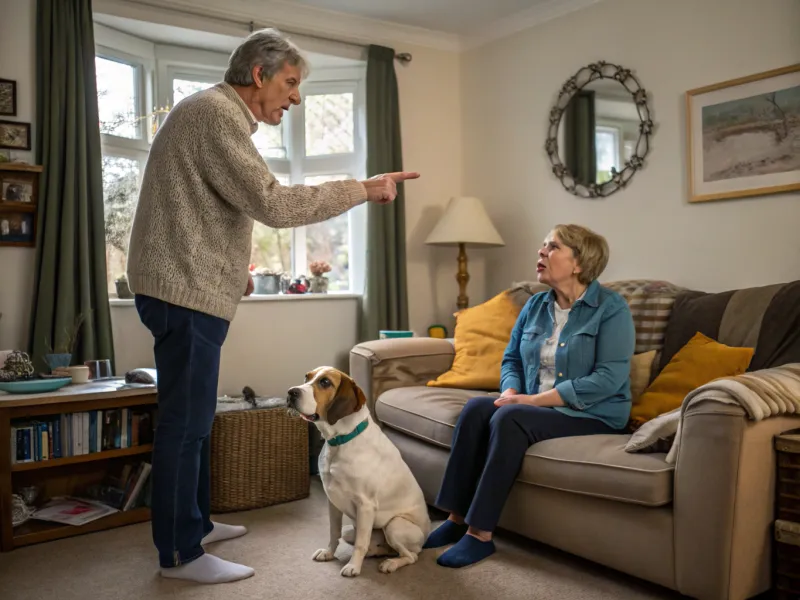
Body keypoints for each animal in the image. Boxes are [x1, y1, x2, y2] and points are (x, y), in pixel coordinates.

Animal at [288, 366, 432, 576]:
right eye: (307, 377)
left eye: (325, 382)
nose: (291, 392)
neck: (340, 441)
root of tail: (427, 535)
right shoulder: (333, 501)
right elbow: (334, 532)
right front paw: (329, 553)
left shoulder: (365, 505)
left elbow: (360, 543)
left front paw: (353, 566)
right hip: (353, 529)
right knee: (372, 544)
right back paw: (377, 554)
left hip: (395, 526)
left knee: (411, 556)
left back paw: (391, 563)